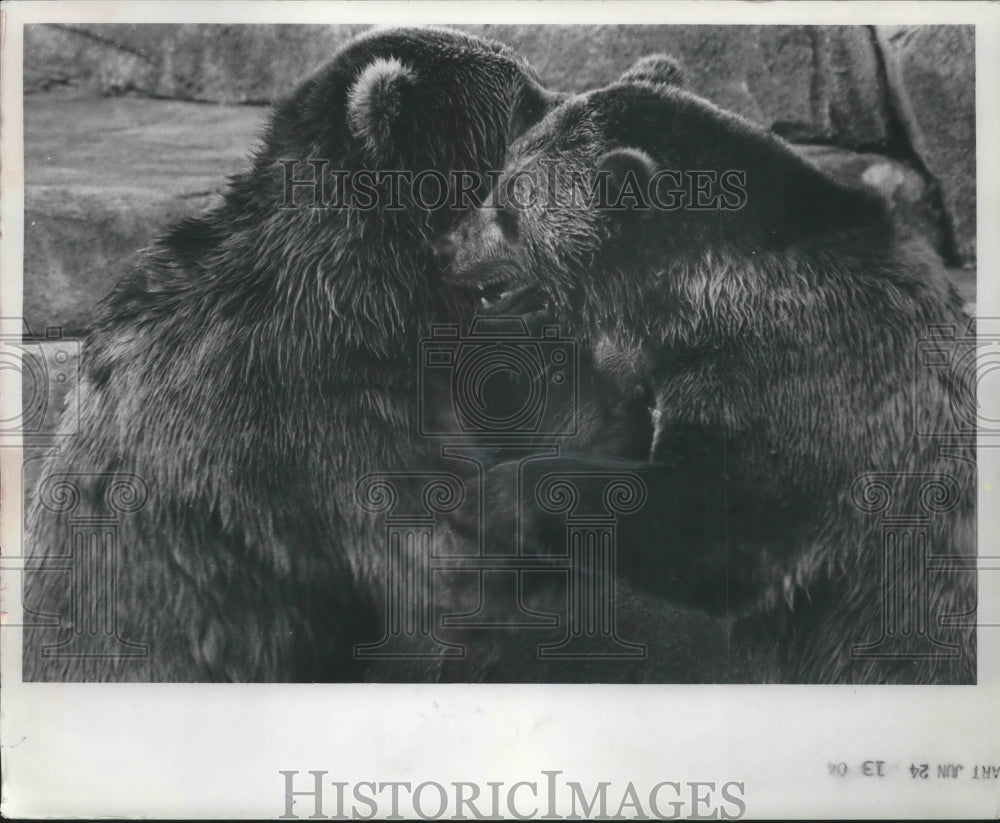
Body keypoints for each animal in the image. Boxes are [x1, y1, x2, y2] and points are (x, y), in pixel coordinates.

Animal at [436, 71, 976, 684]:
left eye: (509, 210)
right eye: (496, 183)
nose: (445, 248)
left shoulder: (789, 373)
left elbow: (721, 521)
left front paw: (483, 499)